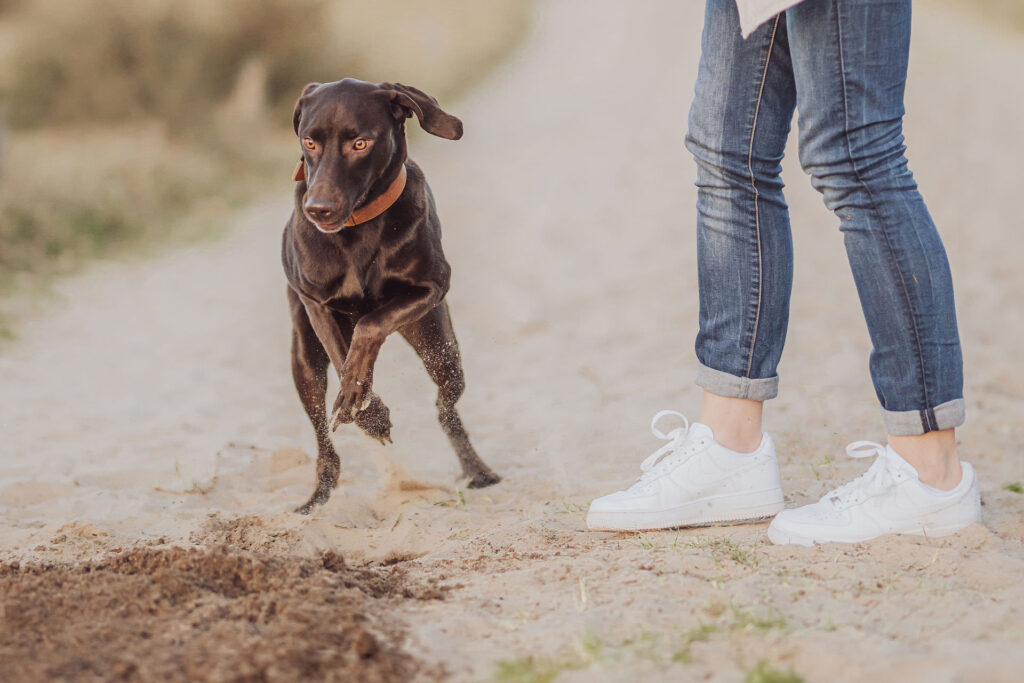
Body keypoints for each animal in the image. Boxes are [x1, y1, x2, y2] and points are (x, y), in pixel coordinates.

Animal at [284, 78, 499, 511]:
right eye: (310, 141)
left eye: (360, 143)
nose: (318, 209)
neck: (357, 228)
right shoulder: (317, 305)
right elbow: (341, 354)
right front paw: (371, 414)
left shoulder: (432, 287)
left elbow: (371, 324)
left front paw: (361, 397)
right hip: (303, 357)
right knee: (322, 432)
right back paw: (318, 495)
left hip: (440, 348)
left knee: (446, 407)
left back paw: (477, 471)